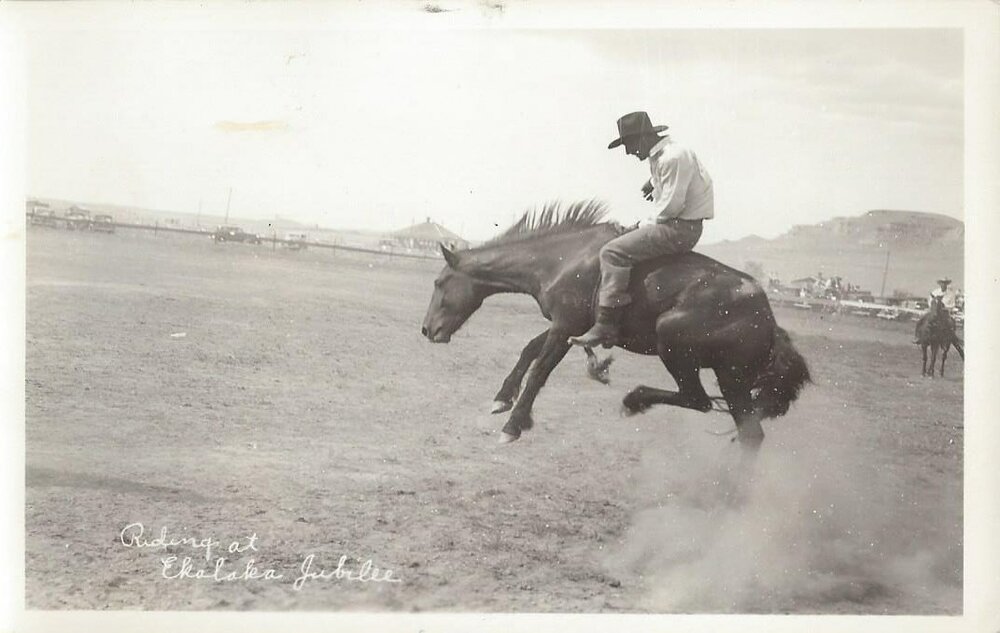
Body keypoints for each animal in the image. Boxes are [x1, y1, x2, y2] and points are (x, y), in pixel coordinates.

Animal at [418, 200, 808, 452]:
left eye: (439, 283)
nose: (426, 330)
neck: (561, 259)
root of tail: (767, 317)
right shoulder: (570, 326)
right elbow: (529, 350)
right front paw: (501, 399)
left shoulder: (565, 325)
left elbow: (540, 369)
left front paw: (513, 425)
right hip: (732, 379)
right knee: (749, 433)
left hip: (679, 347)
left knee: (698, 400)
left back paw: (634, 400)